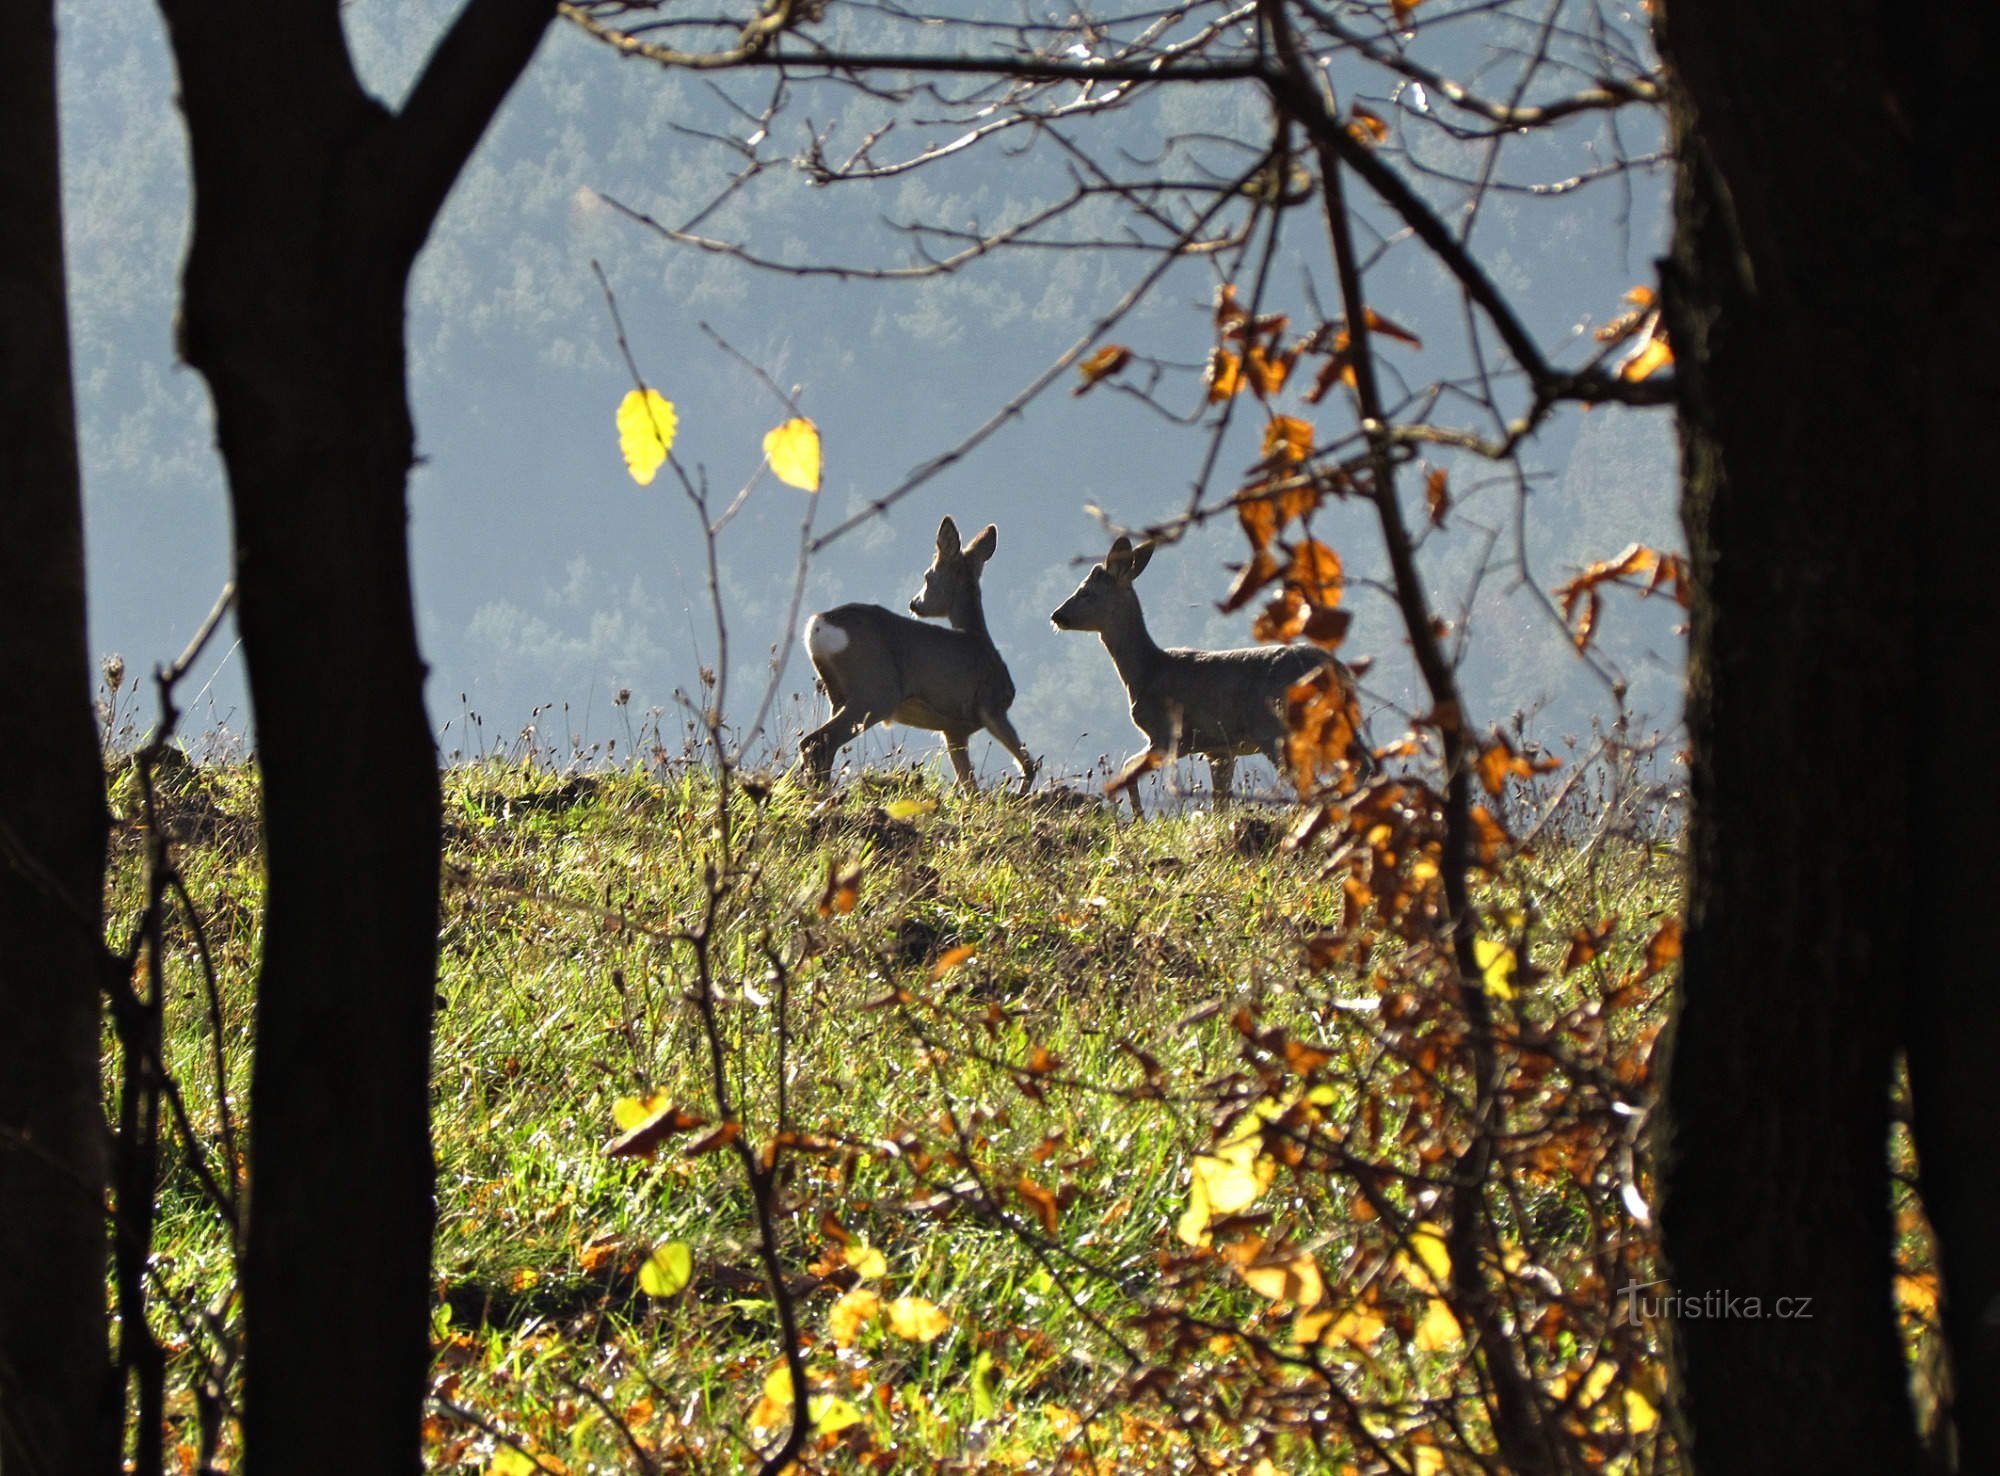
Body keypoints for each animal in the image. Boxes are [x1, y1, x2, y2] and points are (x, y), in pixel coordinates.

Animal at [800, 516, 1048, 792]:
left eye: (927, 575)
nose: (914, 603)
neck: (979, 638)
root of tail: (818, 624)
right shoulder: (991, 705)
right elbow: (1028, 763)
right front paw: (1020, 795)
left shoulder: (953, 730)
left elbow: (969, 786)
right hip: (876, 692)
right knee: (818, 741)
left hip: (839, 694)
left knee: (818, 743)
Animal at [1056, 532, 1368, 812]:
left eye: (1085, 592)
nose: (1057, 616)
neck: (1145, 671)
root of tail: (1336, 669)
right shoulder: (1218, 747)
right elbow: (1221, 802)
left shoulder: (1170, 734)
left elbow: (1126, 769)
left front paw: (1138, 818)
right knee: (1362, 770)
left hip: (1277, 730)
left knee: (1315, 786)